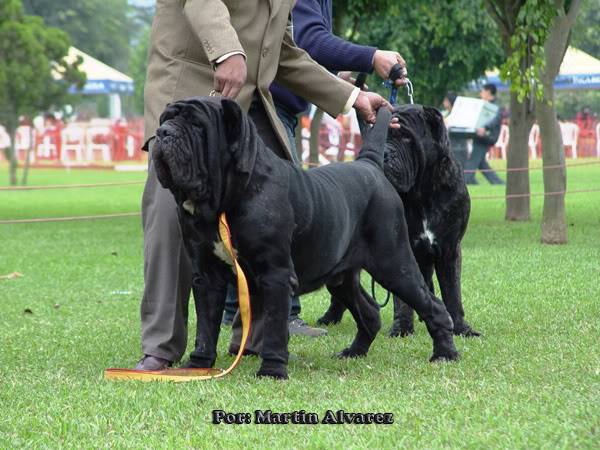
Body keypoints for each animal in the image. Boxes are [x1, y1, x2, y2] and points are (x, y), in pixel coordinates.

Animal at [151, 96, 460, 378]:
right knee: (370, 312)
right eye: (165, 118)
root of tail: (370, 165)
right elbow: (205, 326)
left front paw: (272, 371)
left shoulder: (275, 274)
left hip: (394, 263)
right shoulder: (206, 276)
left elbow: (275, 327)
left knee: (433, 305)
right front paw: (197, 366)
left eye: (196, 125)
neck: (225, 198)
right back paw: (354, 352)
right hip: (342, 277)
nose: (163, 131)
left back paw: (445, 354)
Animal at [316, 105, 480, 338]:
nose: (384, 152)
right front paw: (402, 328)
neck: (421, 191)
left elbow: (452, 292)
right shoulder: (400, 250)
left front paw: (461, 328)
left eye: (406, 137)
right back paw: (330, 318)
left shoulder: (449, 248)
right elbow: (402, 300)